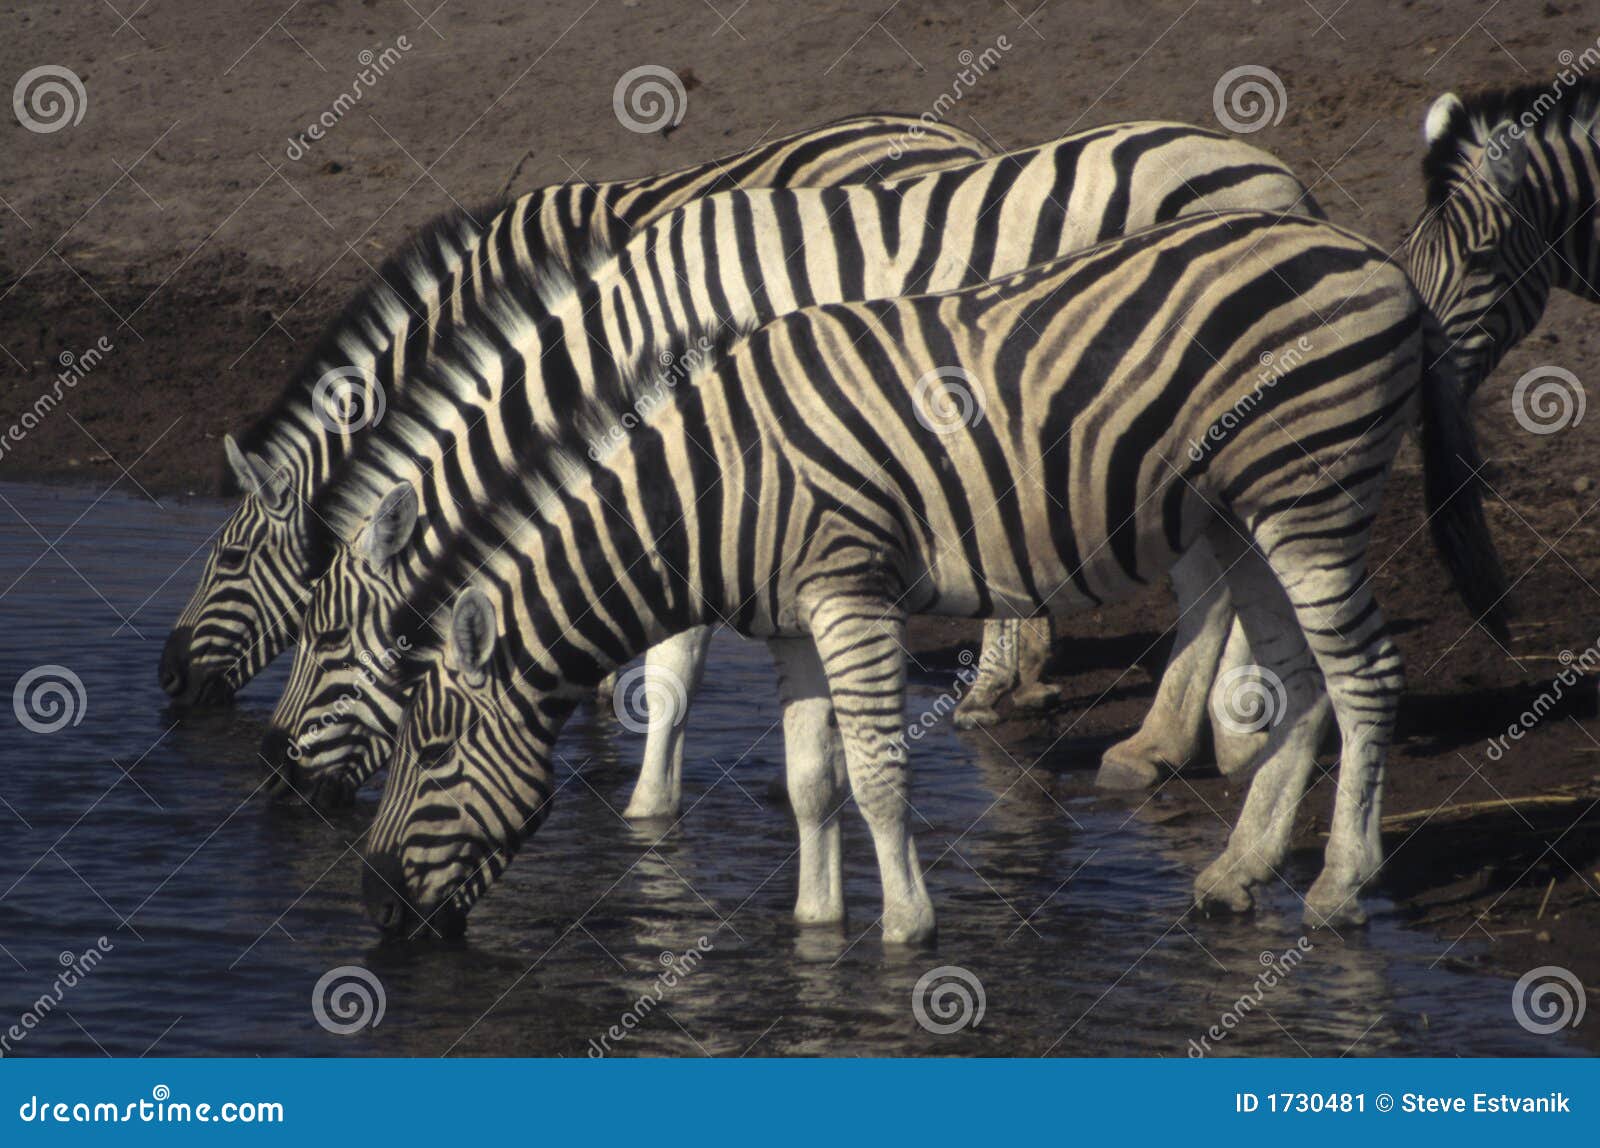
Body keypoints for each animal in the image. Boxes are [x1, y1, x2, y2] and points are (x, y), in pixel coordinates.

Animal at [256, 121, 1318, 818]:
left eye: (328, 633)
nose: (269, 768)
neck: (622, 342)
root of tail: (1283, 179)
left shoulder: (702, 458)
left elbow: (674, 659)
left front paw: (649, 813)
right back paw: (1217, 732)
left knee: (1209, 572)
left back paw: (1169, 738)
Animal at [353, 211, 1510, 946]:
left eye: (432, 749)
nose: (374, 908)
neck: (715, 481)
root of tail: (1378, 258)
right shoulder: (788, 619)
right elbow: (811, 781)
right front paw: (816, 929)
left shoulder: (848, 590)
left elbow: (872, 772)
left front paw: (905, 928)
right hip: (1243, 513)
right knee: (1302, 683)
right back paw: (1239, 874)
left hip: (1311, 495)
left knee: (1364, 677)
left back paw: (1338, 887)